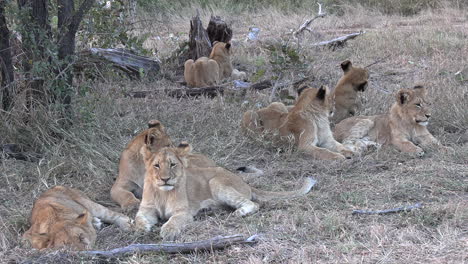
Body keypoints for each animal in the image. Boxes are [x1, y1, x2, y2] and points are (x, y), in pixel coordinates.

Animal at [133, 143, 312, 240]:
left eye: (172, 164)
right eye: (156, 165)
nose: (165, 179)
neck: (163, 193)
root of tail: (243, 181)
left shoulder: (183, 212)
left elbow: (174, 221)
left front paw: (168, 232)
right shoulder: (146, 210)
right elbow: (138, 219)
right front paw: (141, 229)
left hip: (216, 182)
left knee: (253, 204)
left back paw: (238, 213)